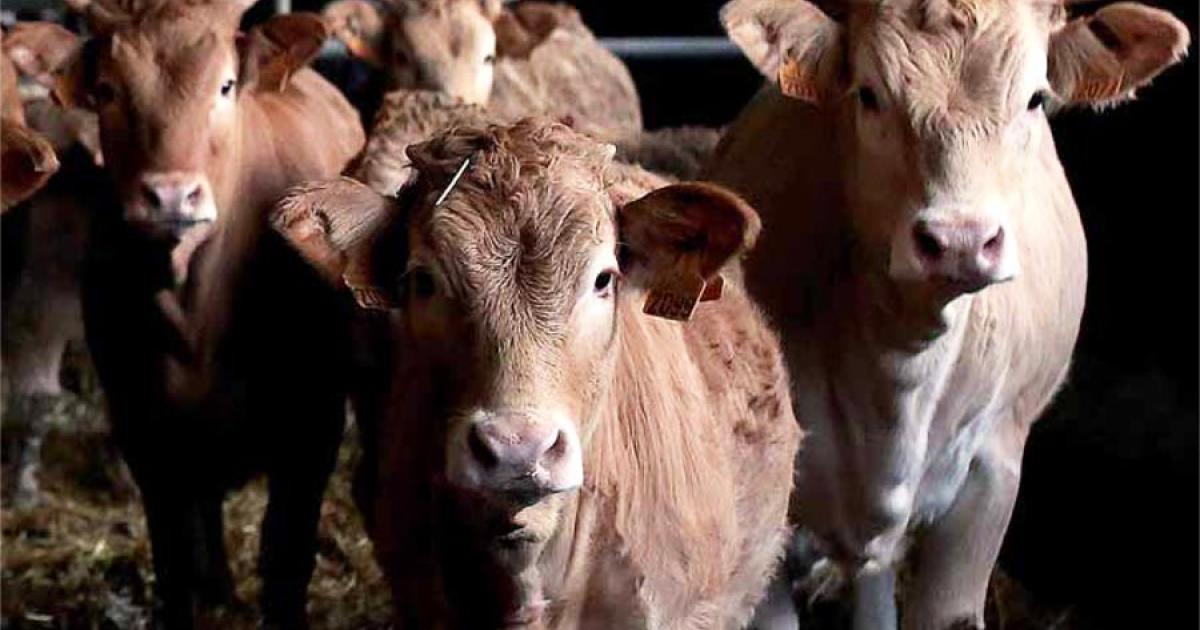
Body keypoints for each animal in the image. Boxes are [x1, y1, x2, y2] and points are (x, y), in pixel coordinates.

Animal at [51, 0, 365, 626]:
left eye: (224, 85)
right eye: (107, 89)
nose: (171, 196)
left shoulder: (313, 431)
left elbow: (287, 559)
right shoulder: (145, 433)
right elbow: (175, 563)